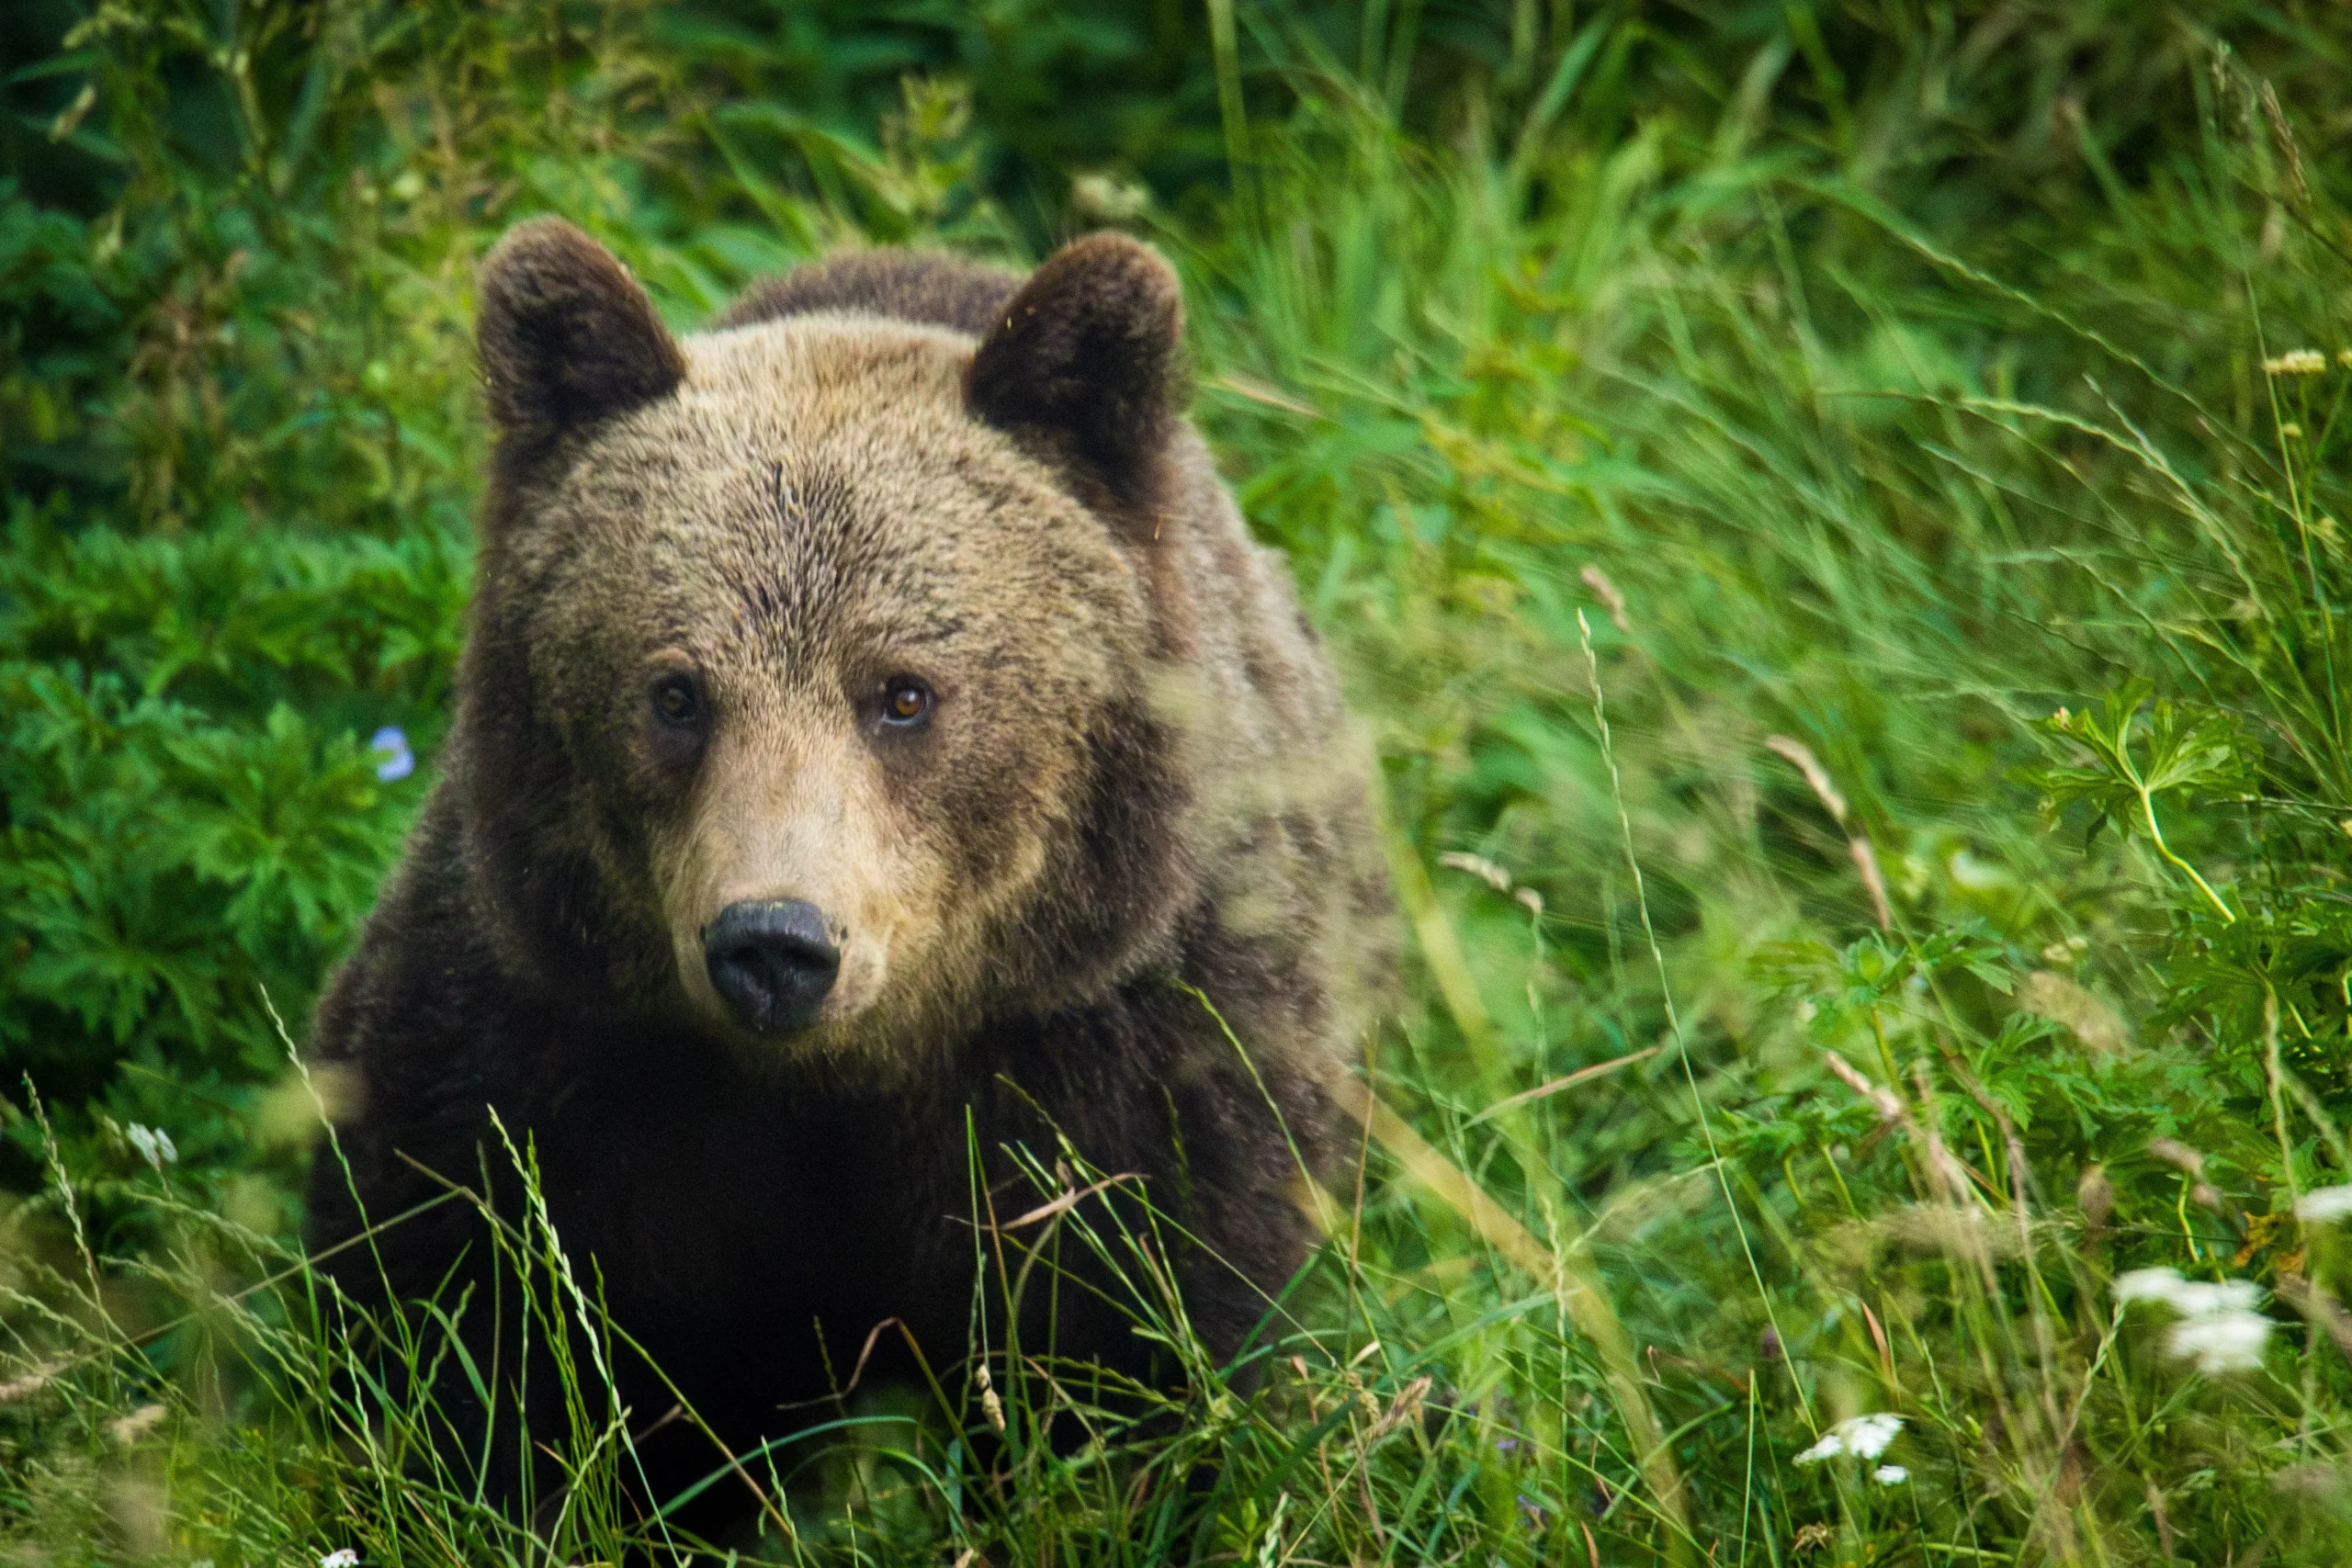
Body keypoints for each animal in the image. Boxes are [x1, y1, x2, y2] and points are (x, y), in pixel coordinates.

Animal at [302, 219, 1393, 1535]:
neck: (838, 1084)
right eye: (675, 692)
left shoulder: (1125, 1072)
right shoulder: (549, 1060)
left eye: (904, 692)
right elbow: (481, 1347)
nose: (775, 942)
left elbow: (1143, 1360)